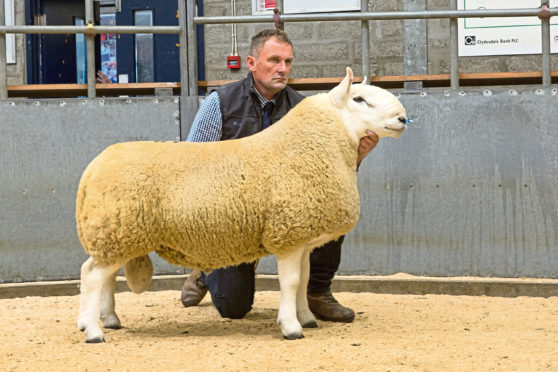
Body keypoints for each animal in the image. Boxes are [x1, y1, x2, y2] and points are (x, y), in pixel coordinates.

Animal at [75, 67, 406, 342]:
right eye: (359, 99)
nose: (403, 118)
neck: (314, 143)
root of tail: (94, 167)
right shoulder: (287, 235)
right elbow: (291, 282)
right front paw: (291, 327)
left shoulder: (302, 238)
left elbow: (304, 280)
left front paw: (306, 318)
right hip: (117, 231)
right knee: (92, 275)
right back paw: (93, 330)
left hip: (117, 235)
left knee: (104, 275)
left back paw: (109, 319)